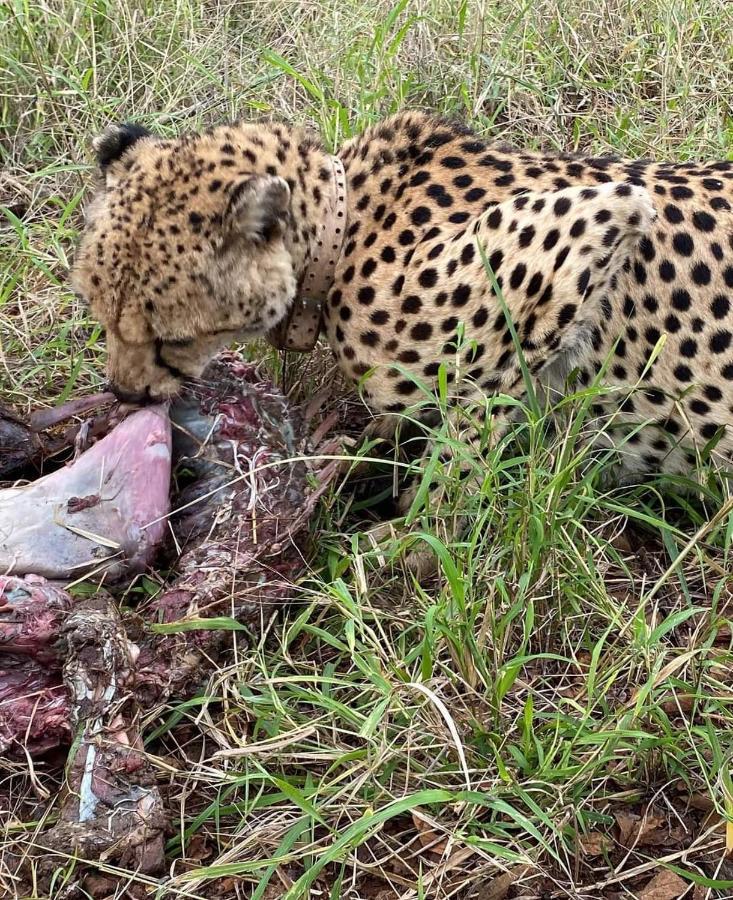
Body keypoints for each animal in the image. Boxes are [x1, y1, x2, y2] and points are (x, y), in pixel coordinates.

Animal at [73, 109, 733, 536]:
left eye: (172, 338)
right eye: (98, 312)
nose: (124, 393)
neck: (347, 225)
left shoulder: (591, 223)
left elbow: (465, 439)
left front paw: (407, 543)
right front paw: (369, 455)